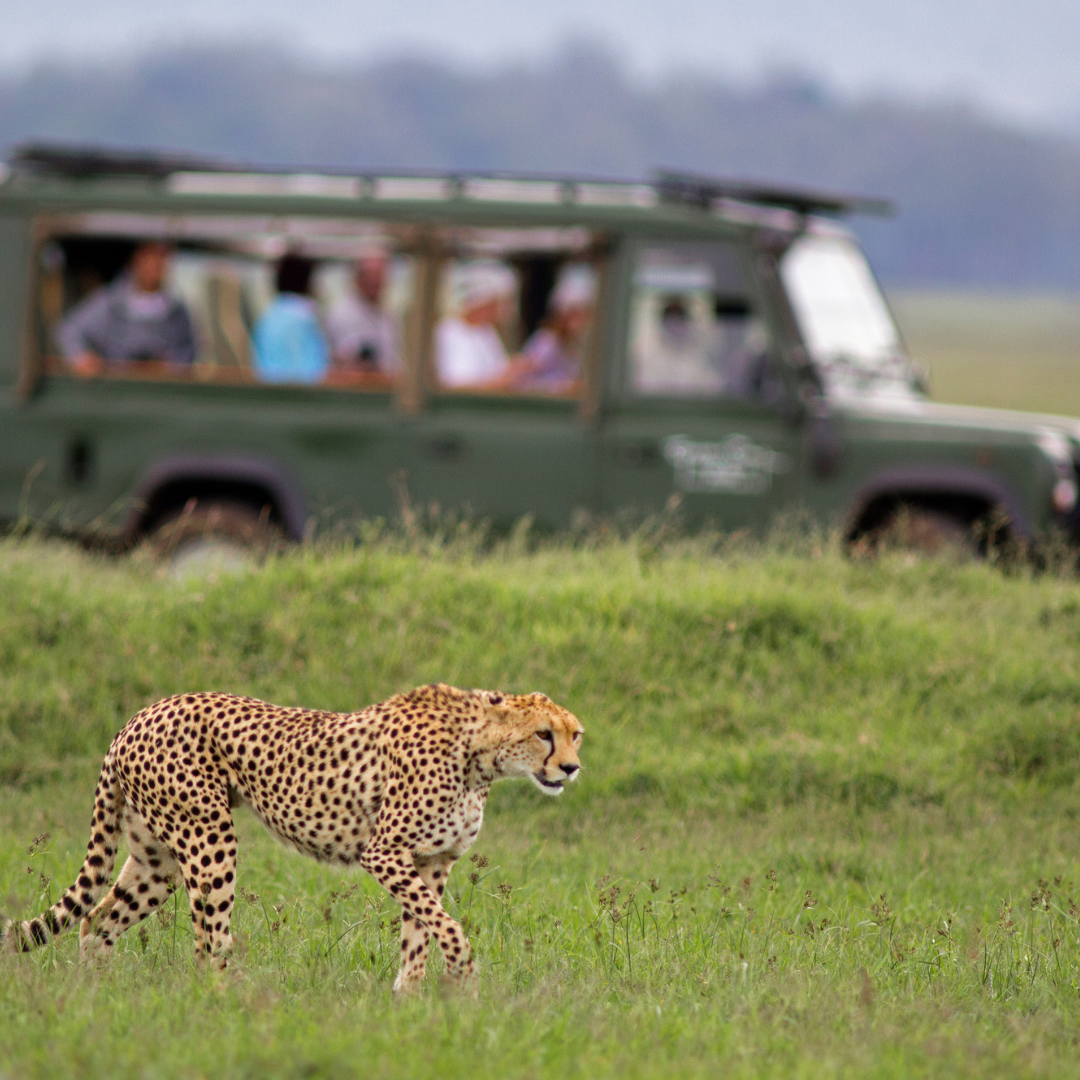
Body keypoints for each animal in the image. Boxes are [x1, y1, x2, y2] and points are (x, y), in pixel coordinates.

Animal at [4, 682, 583, 989]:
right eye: (543, 734)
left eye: (575, 734)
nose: (572, 768)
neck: (480, 755)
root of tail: (139, 715)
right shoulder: (385, 853)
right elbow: (446, 926)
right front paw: (462, 974)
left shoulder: (431, 861)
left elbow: (420, 930)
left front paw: (410, 1001)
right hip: (209, 839)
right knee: (207, 940)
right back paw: (229, 1005)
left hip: (156, 858)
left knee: (96, 922)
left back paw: (96, 996)